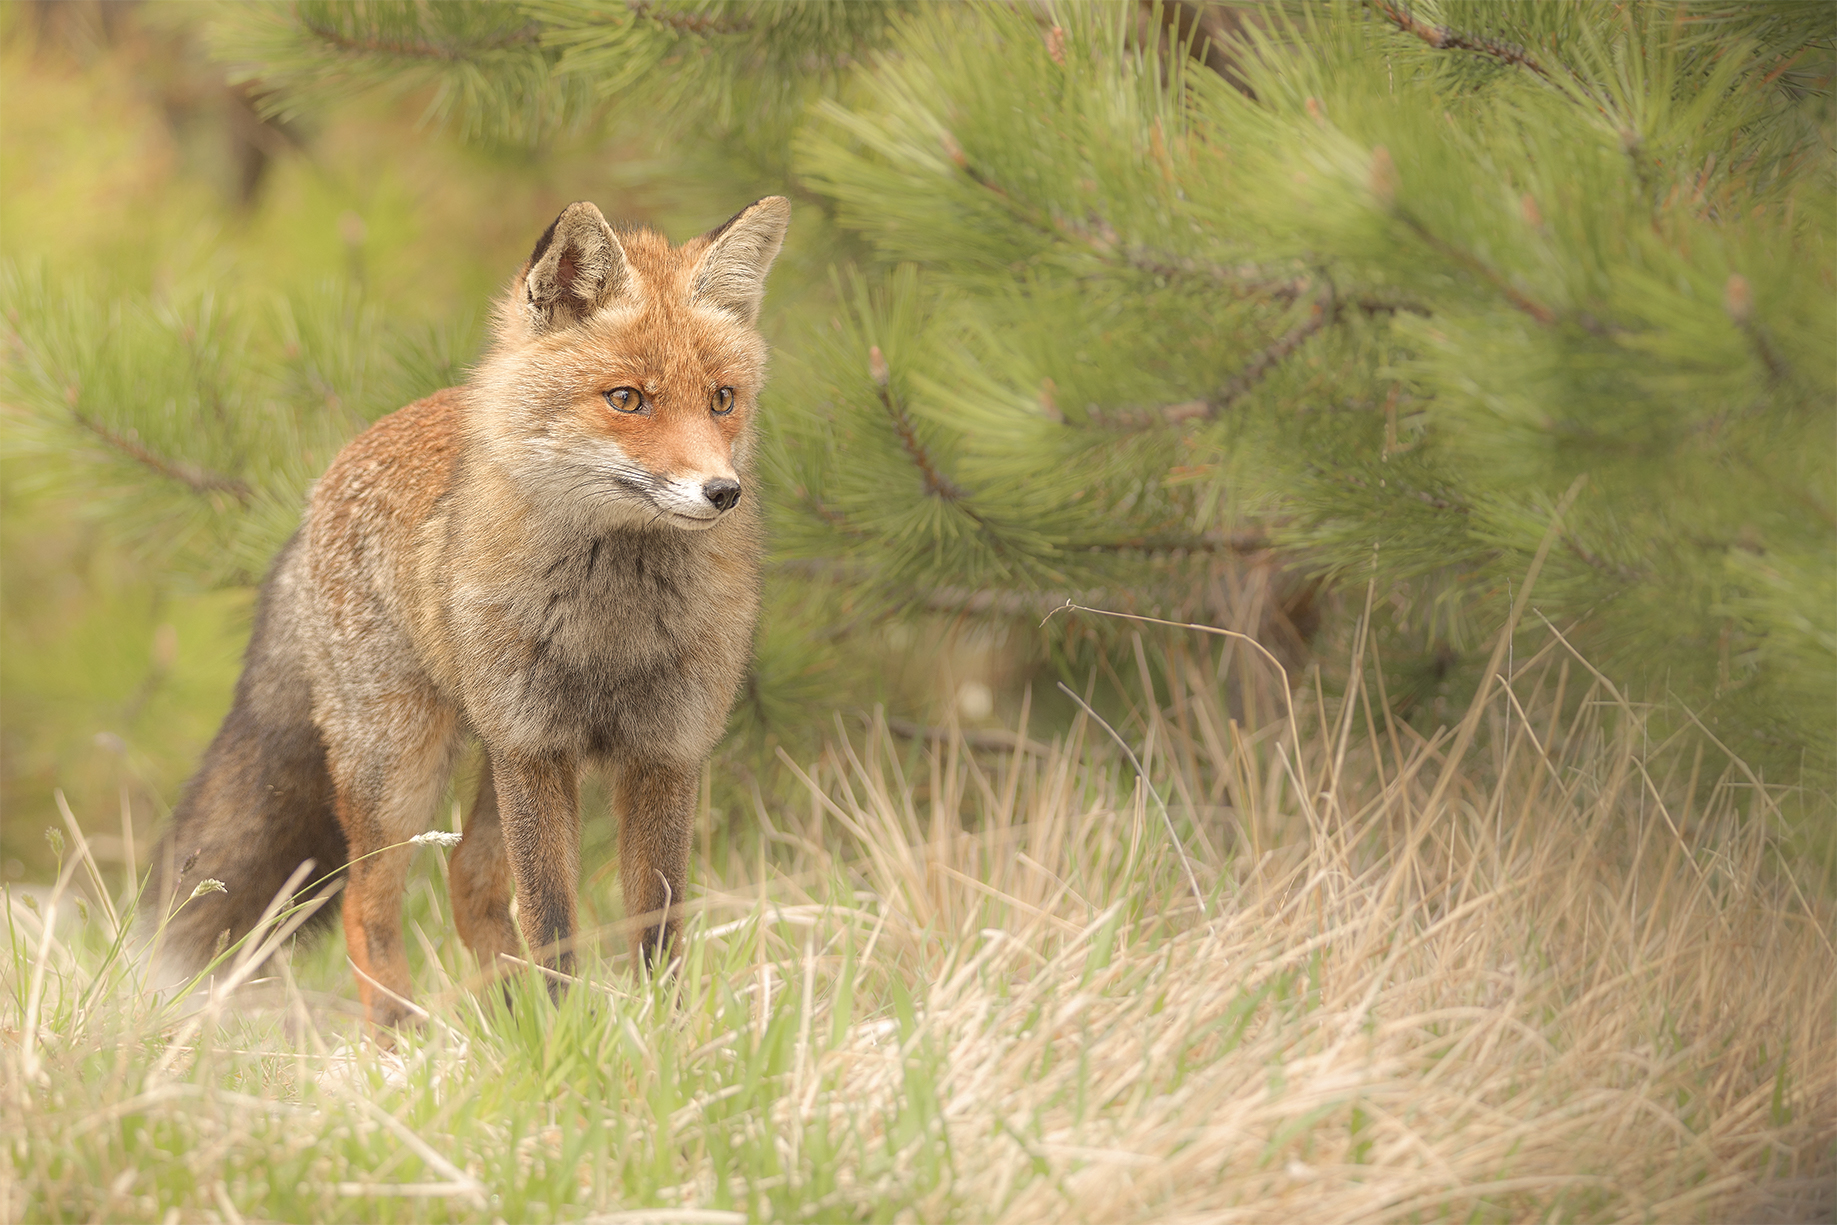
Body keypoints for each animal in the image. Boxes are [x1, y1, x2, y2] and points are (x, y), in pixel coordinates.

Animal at [144, 196, 791, 1027]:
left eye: (721, 399)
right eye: (627, 399)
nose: (721, 491)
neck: (609, 629)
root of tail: (319, 488)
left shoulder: (665, 752)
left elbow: (656, 933)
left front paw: (659, 1035)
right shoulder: (534, 749)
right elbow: (552, 924)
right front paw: (566, 1040)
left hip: (477, 757)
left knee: (465, 878)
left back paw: (507, 1021)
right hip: (400, 769)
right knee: (366, 906)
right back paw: (400, 1040)